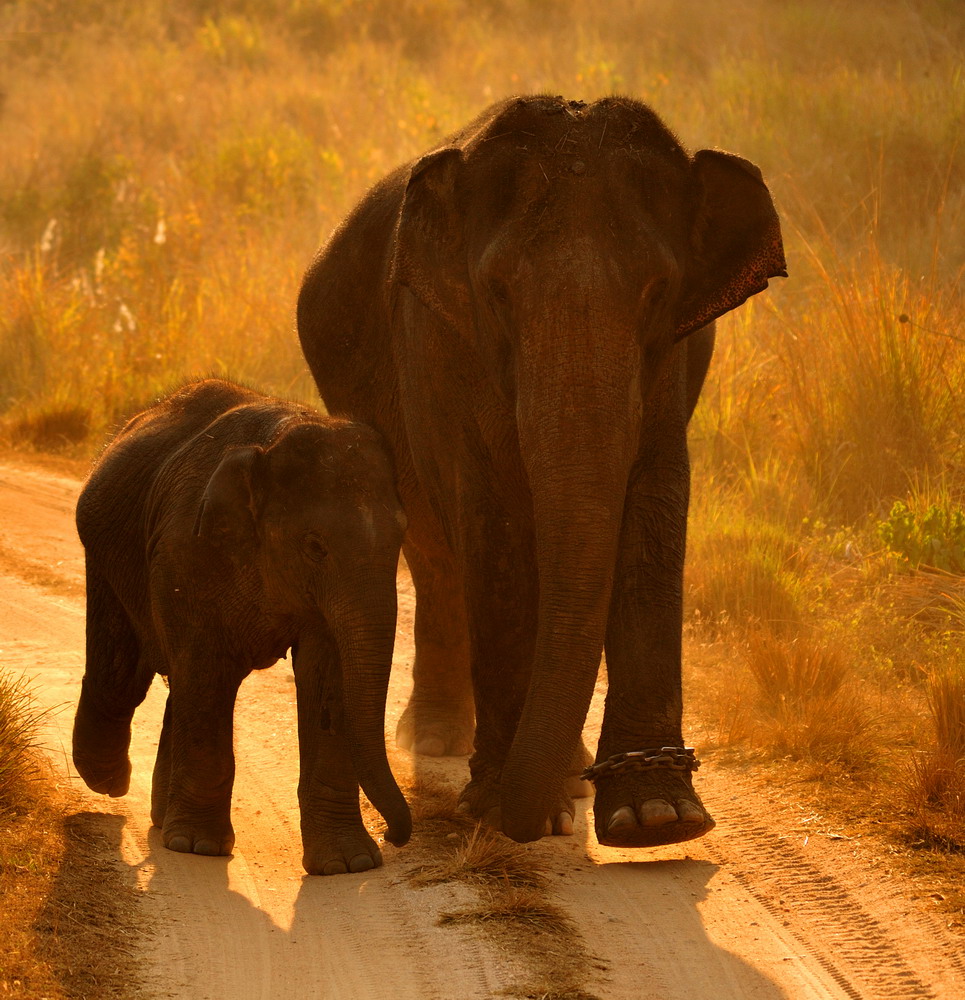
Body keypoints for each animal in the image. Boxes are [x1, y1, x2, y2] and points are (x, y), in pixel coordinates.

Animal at [72, 378, 410, 872]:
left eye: (402, 537)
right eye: (315, 546)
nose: (395, 836)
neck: (273, 444)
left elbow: (327, 676)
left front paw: (349, 865)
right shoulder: (187, 551)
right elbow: (207, 669)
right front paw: (198, 848)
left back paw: (158, 815)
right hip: (106, 552)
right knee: (124, 675)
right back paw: (108, 781)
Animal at [296, 94, 784, 848]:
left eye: (658, 291)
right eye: (497, 291)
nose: (519, 817)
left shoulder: (671, 363)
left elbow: (653, 504)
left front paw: (656, 821)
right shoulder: (450, 347)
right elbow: (493, 521)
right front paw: (503, 806)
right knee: (434, 554)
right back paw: (441, 741)